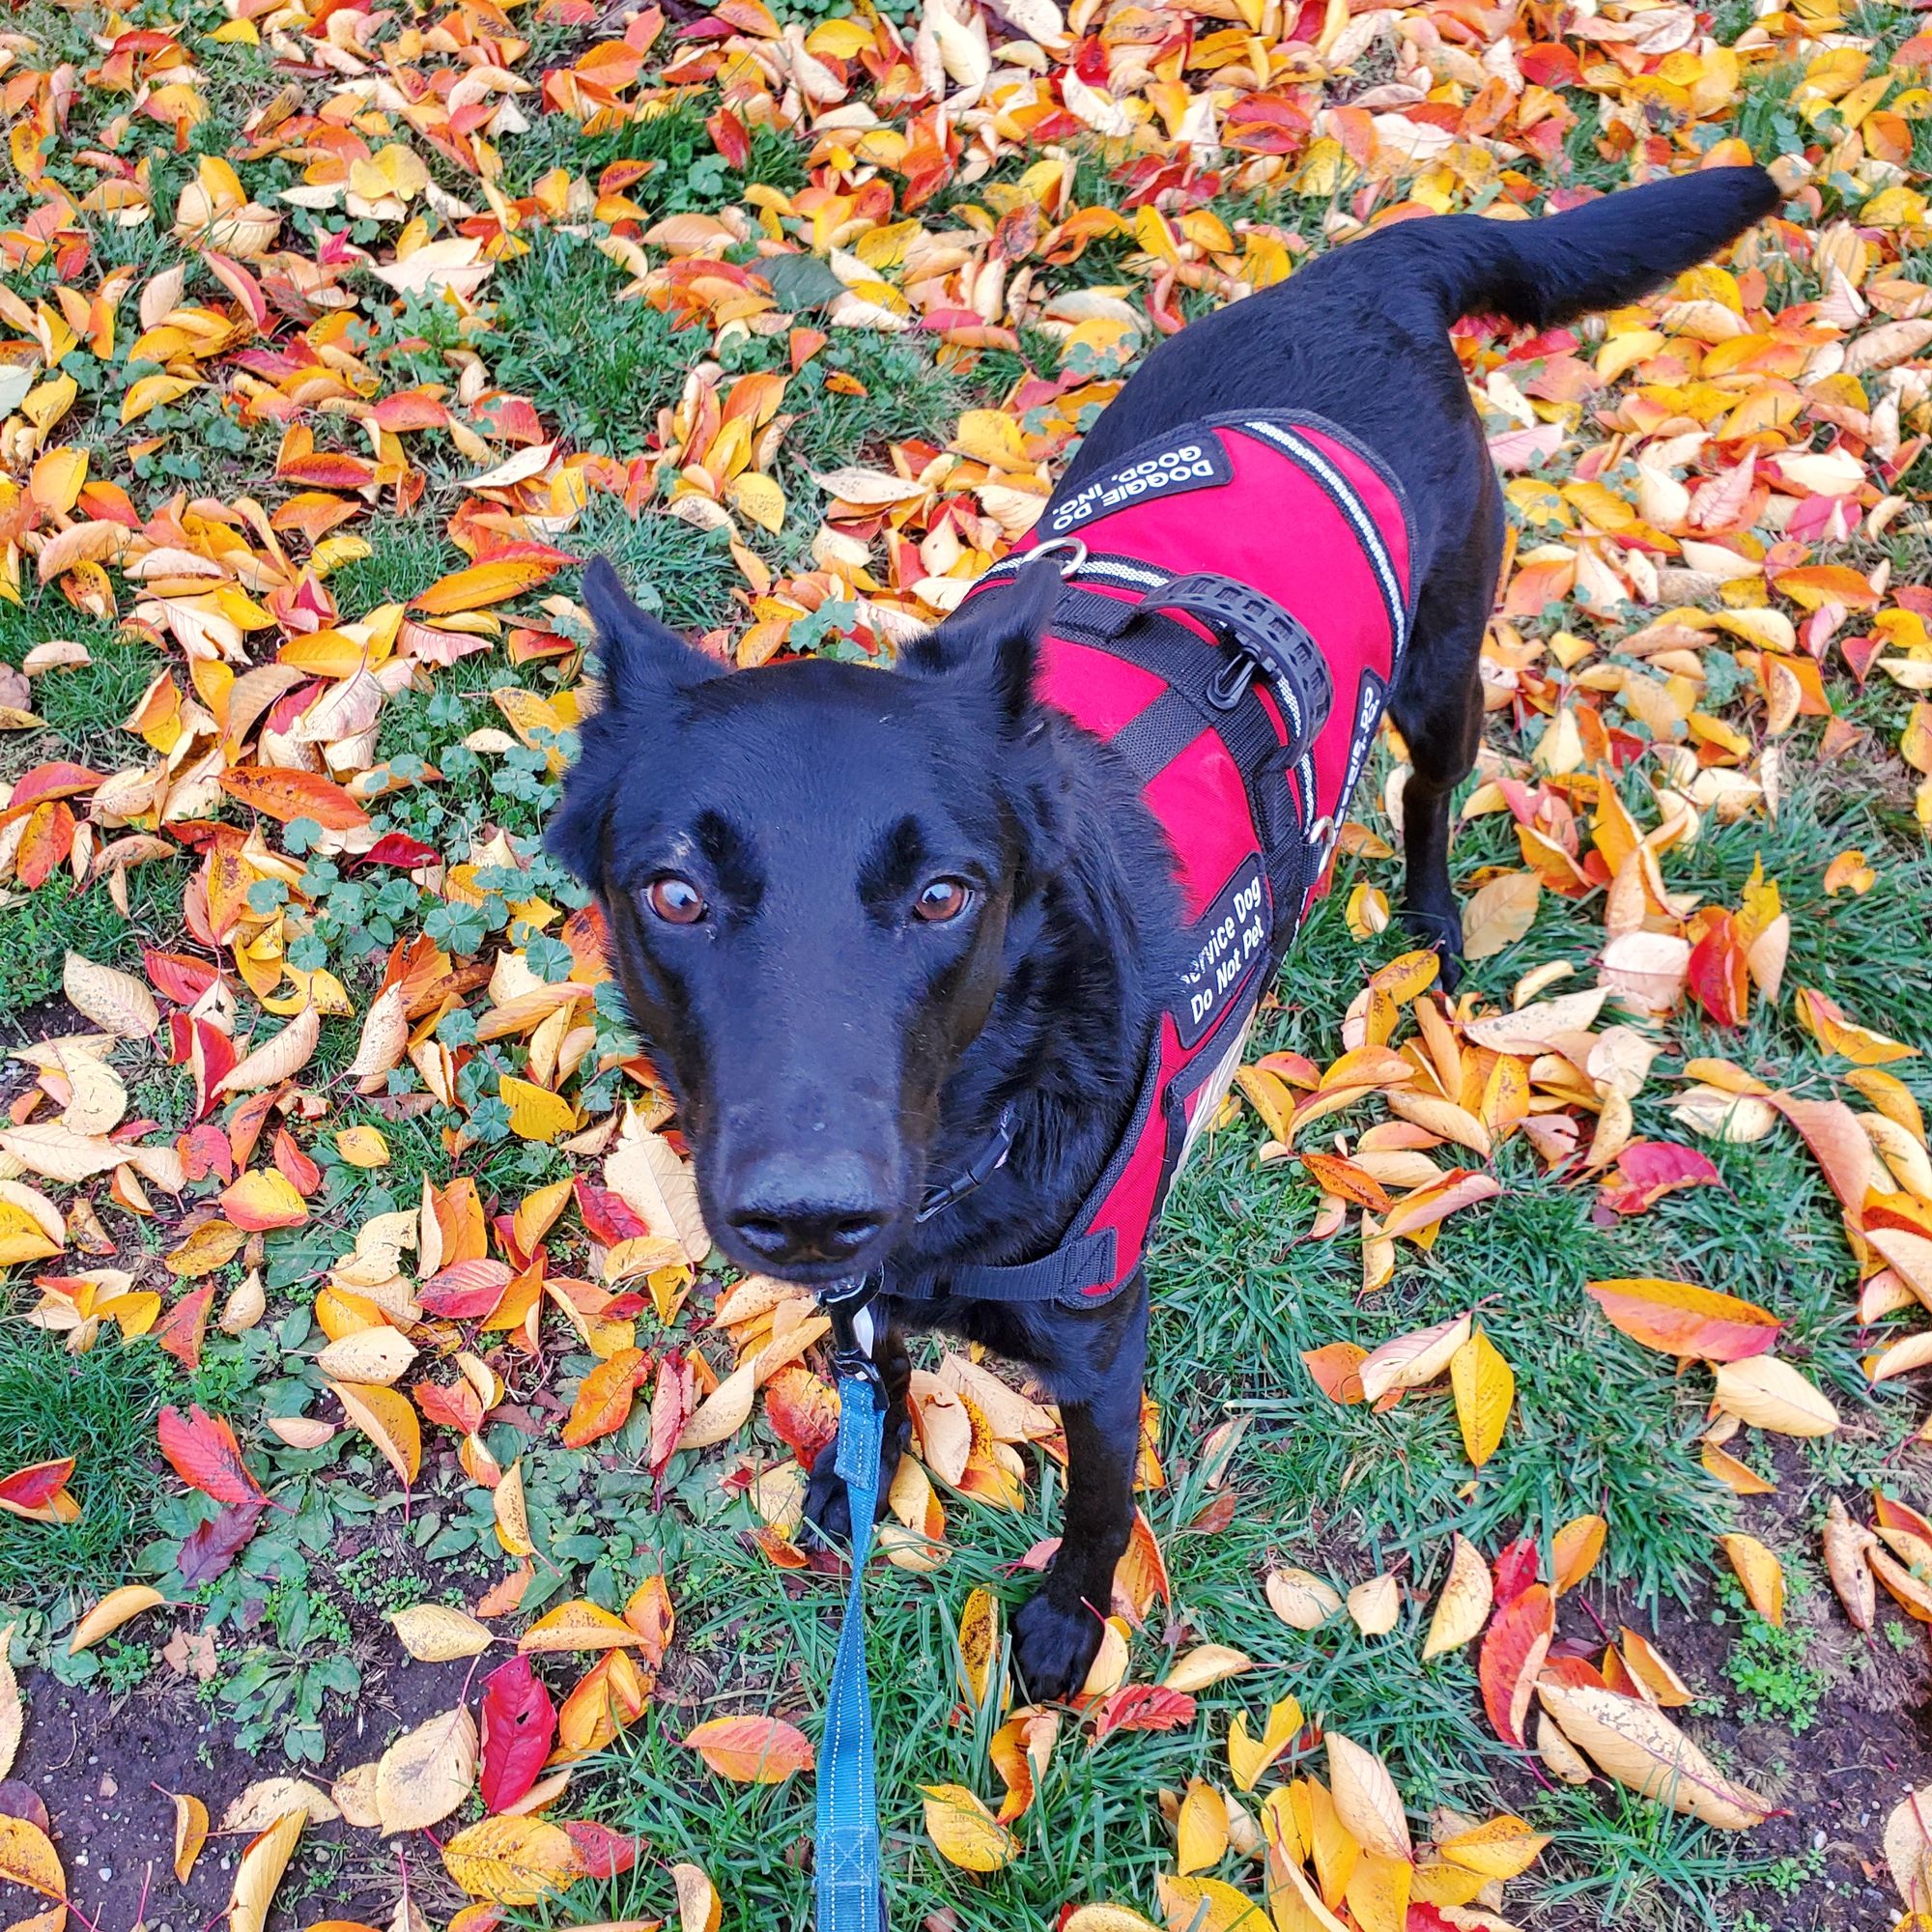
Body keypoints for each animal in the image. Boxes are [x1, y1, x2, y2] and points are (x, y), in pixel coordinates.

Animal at [549, 174, 1777, 1700]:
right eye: (674, 895)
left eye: (944, 896)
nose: (811, 1207)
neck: (980, 1135)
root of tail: (1377, 269)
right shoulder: (871, 1280)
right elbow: (874, 1362)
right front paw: (858, 1466)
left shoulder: (1099, 1348)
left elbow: (1094, 1503)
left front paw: (1067, 1626)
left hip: (1444, 673)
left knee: (1429, 797)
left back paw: (1432, 917)